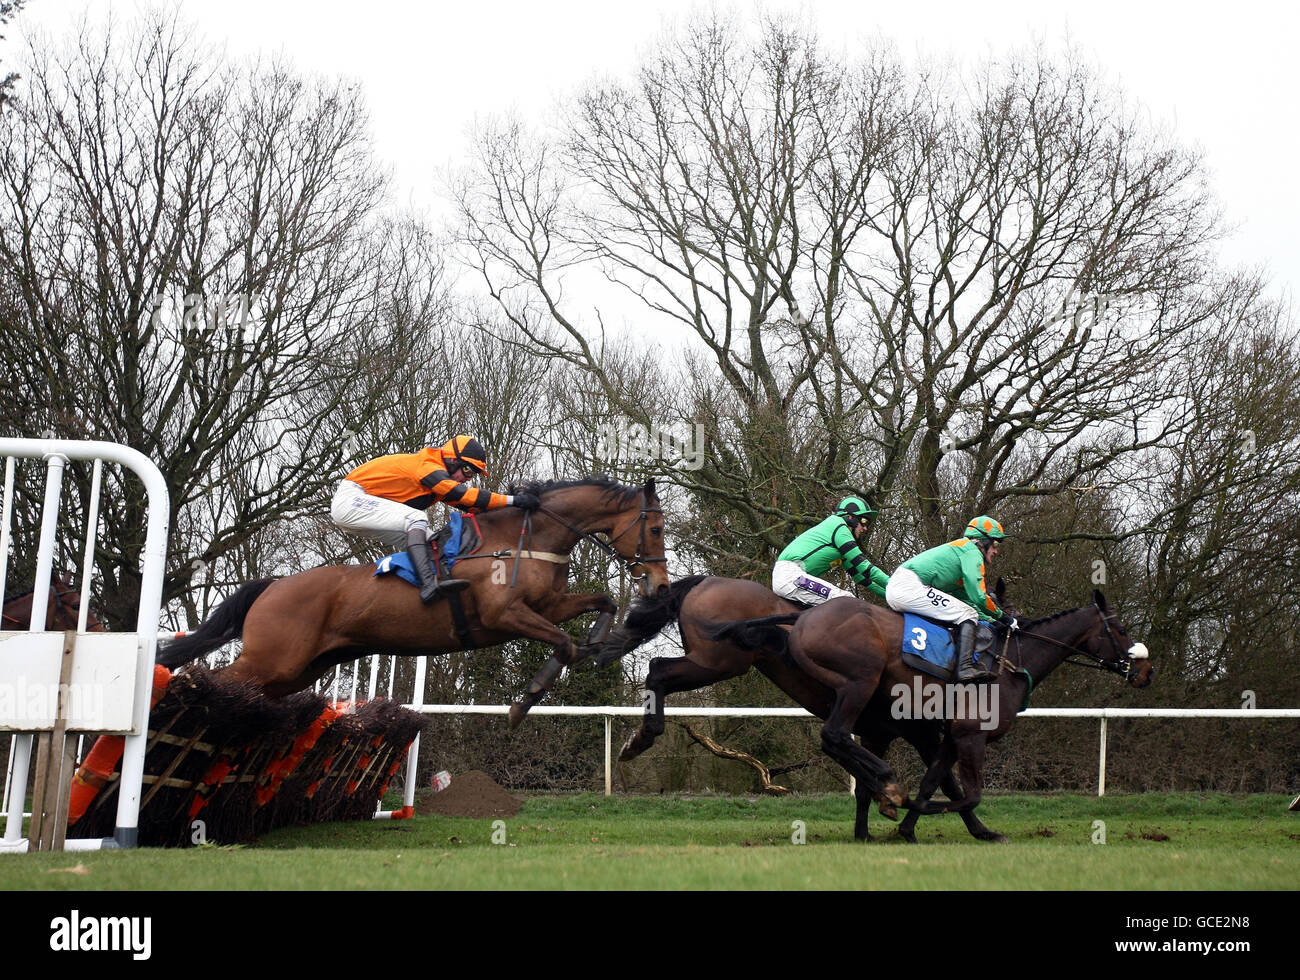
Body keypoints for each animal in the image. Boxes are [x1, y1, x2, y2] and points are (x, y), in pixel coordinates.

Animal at [159, 478, 670, 696]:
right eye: (657, 529)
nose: (663, 586)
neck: (525, 539)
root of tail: (272, 587)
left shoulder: (548, 604)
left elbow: (601, 603)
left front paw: (599, 643)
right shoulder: (505, 616)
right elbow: (561, 644)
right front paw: (533, 693)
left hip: (297, 671)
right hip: (271, 661)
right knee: (204, 677)